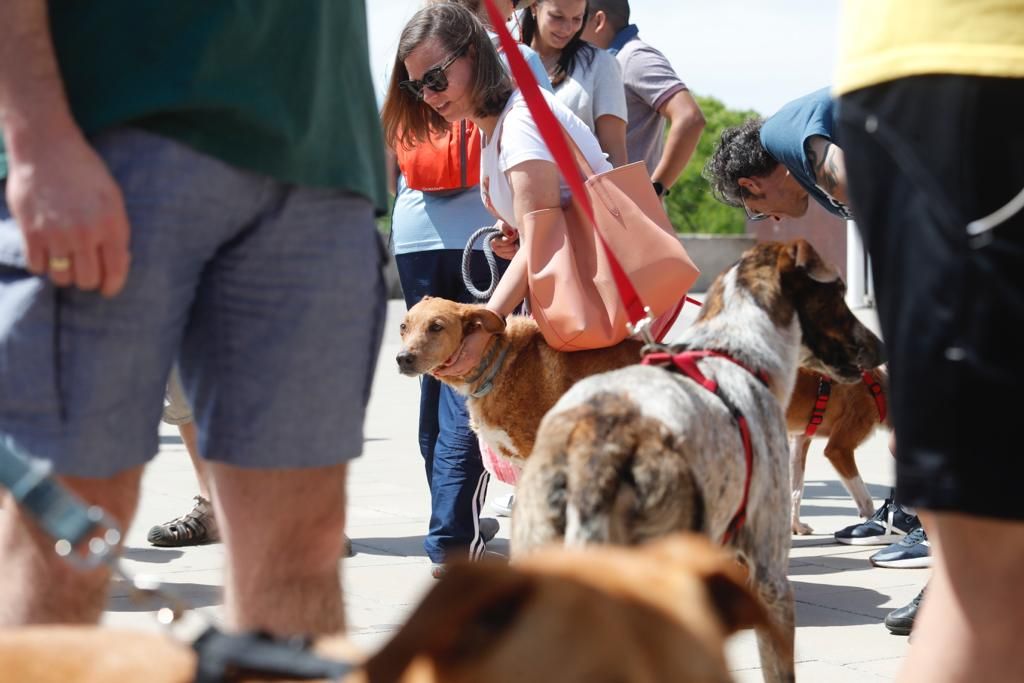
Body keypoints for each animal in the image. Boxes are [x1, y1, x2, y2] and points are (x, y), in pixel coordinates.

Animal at [786, 366, 892, 536]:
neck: (875, 388)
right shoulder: (838, 449)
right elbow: (866, 498)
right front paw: (874, 523)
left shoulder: (799, 441)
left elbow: (796, 491)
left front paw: (796, 526)